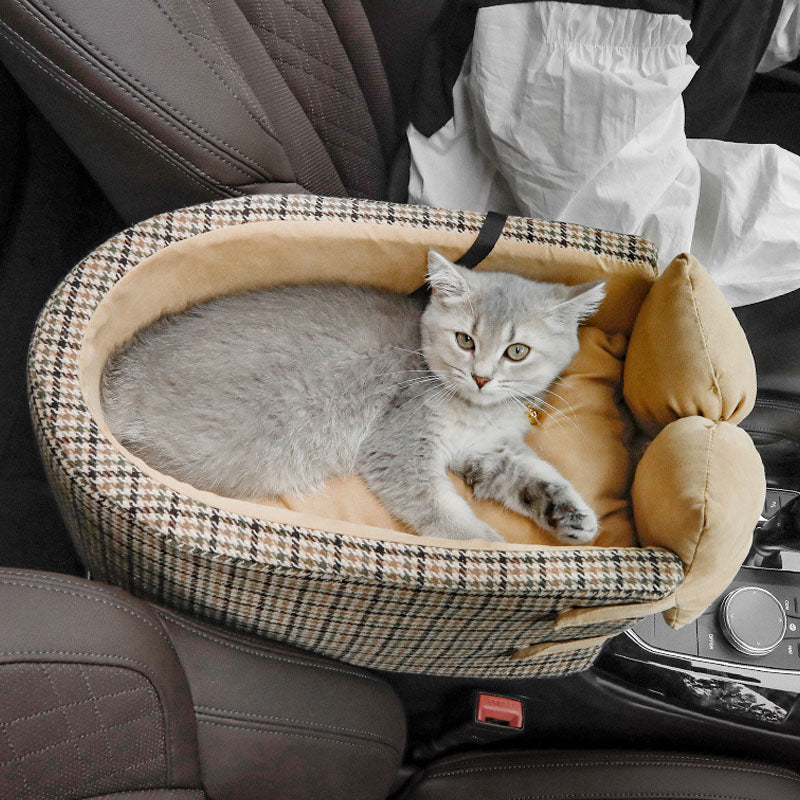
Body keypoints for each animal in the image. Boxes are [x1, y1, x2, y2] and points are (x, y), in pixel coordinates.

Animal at [103, 252, 608, 544]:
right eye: (465, 340)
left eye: (516, 351)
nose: (481, 377)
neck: (477, 412)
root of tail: (116, 374)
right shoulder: (399, 446)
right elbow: (442, 510)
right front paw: (484, 546)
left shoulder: (488, 453)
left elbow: (532, 477)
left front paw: (569, 514)